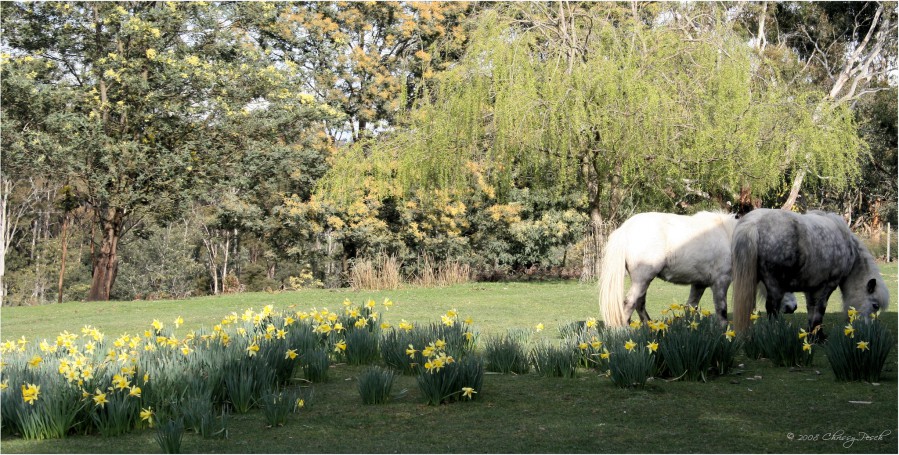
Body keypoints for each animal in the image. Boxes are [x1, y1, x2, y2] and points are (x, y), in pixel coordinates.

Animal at [598, 211, 796, 327]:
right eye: (783, 275)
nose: (792, 307)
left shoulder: (699, 285)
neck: (731, 239)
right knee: (629, 304)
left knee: (639, 304)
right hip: (643, 278)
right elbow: (722, 313)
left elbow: (690, 308)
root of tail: (624, 230)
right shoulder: (720, 283)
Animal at [731, 209, 889, 332]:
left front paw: (810, 332)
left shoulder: (812, 288)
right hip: (774, 286)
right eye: (875, 305)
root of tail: (754, 222)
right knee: (772, 308)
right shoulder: (828, 286)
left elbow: (811, 308)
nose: (867, 327)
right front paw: (817, 335)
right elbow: (820, 309)